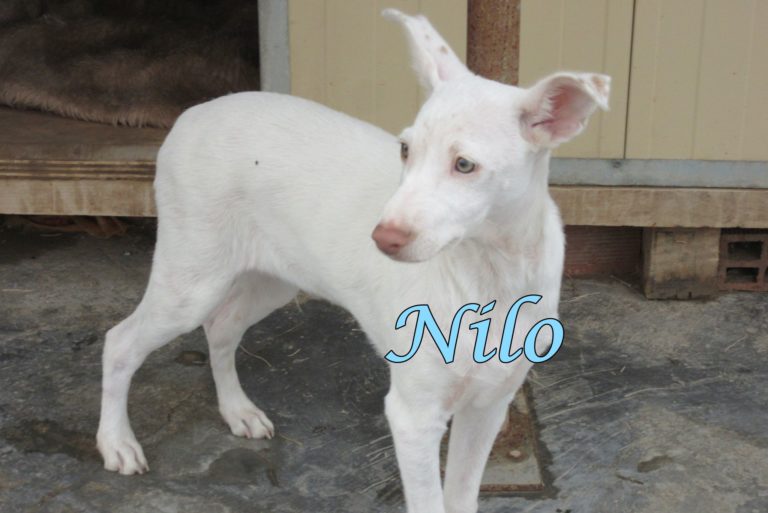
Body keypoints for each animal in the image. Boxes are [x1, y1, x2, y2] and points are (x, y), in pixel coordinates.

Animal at [96, 9, 609, 513]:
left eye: (465, 165)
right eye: (405, 149)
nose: (382, 238)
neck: (490, 277)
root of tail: (193, 113)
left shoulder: (489, 406)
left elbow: (462, 496)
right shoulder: (413, 416)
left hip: (272, 279)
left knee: (221, 327)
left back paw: (237, 411)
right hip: (191, 280)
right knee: (121, 342)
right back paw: (116, 442)